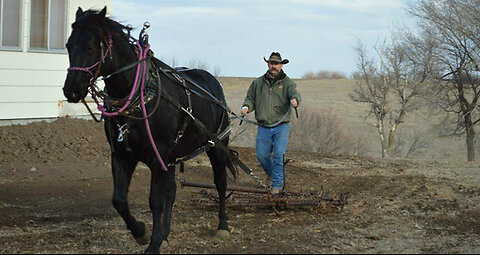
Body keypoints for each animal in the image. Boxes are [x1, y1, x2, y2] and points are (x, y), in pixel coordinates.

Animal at [63, 6, 236, 254]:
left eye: (90, 46)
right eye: (68, 45)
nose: (72, 90)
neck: (139, 93)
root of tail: (211, 81)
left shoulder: (157, 156)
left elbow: (155, 201)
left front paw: (153, 243)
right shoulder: (122, 155)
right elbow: (119, 200)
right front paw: (142, 233)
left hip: (216, 147)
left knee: (220, 183)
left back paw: (222, 226)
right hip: (172, 158)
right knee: (172, 191)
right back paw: (166, 232)